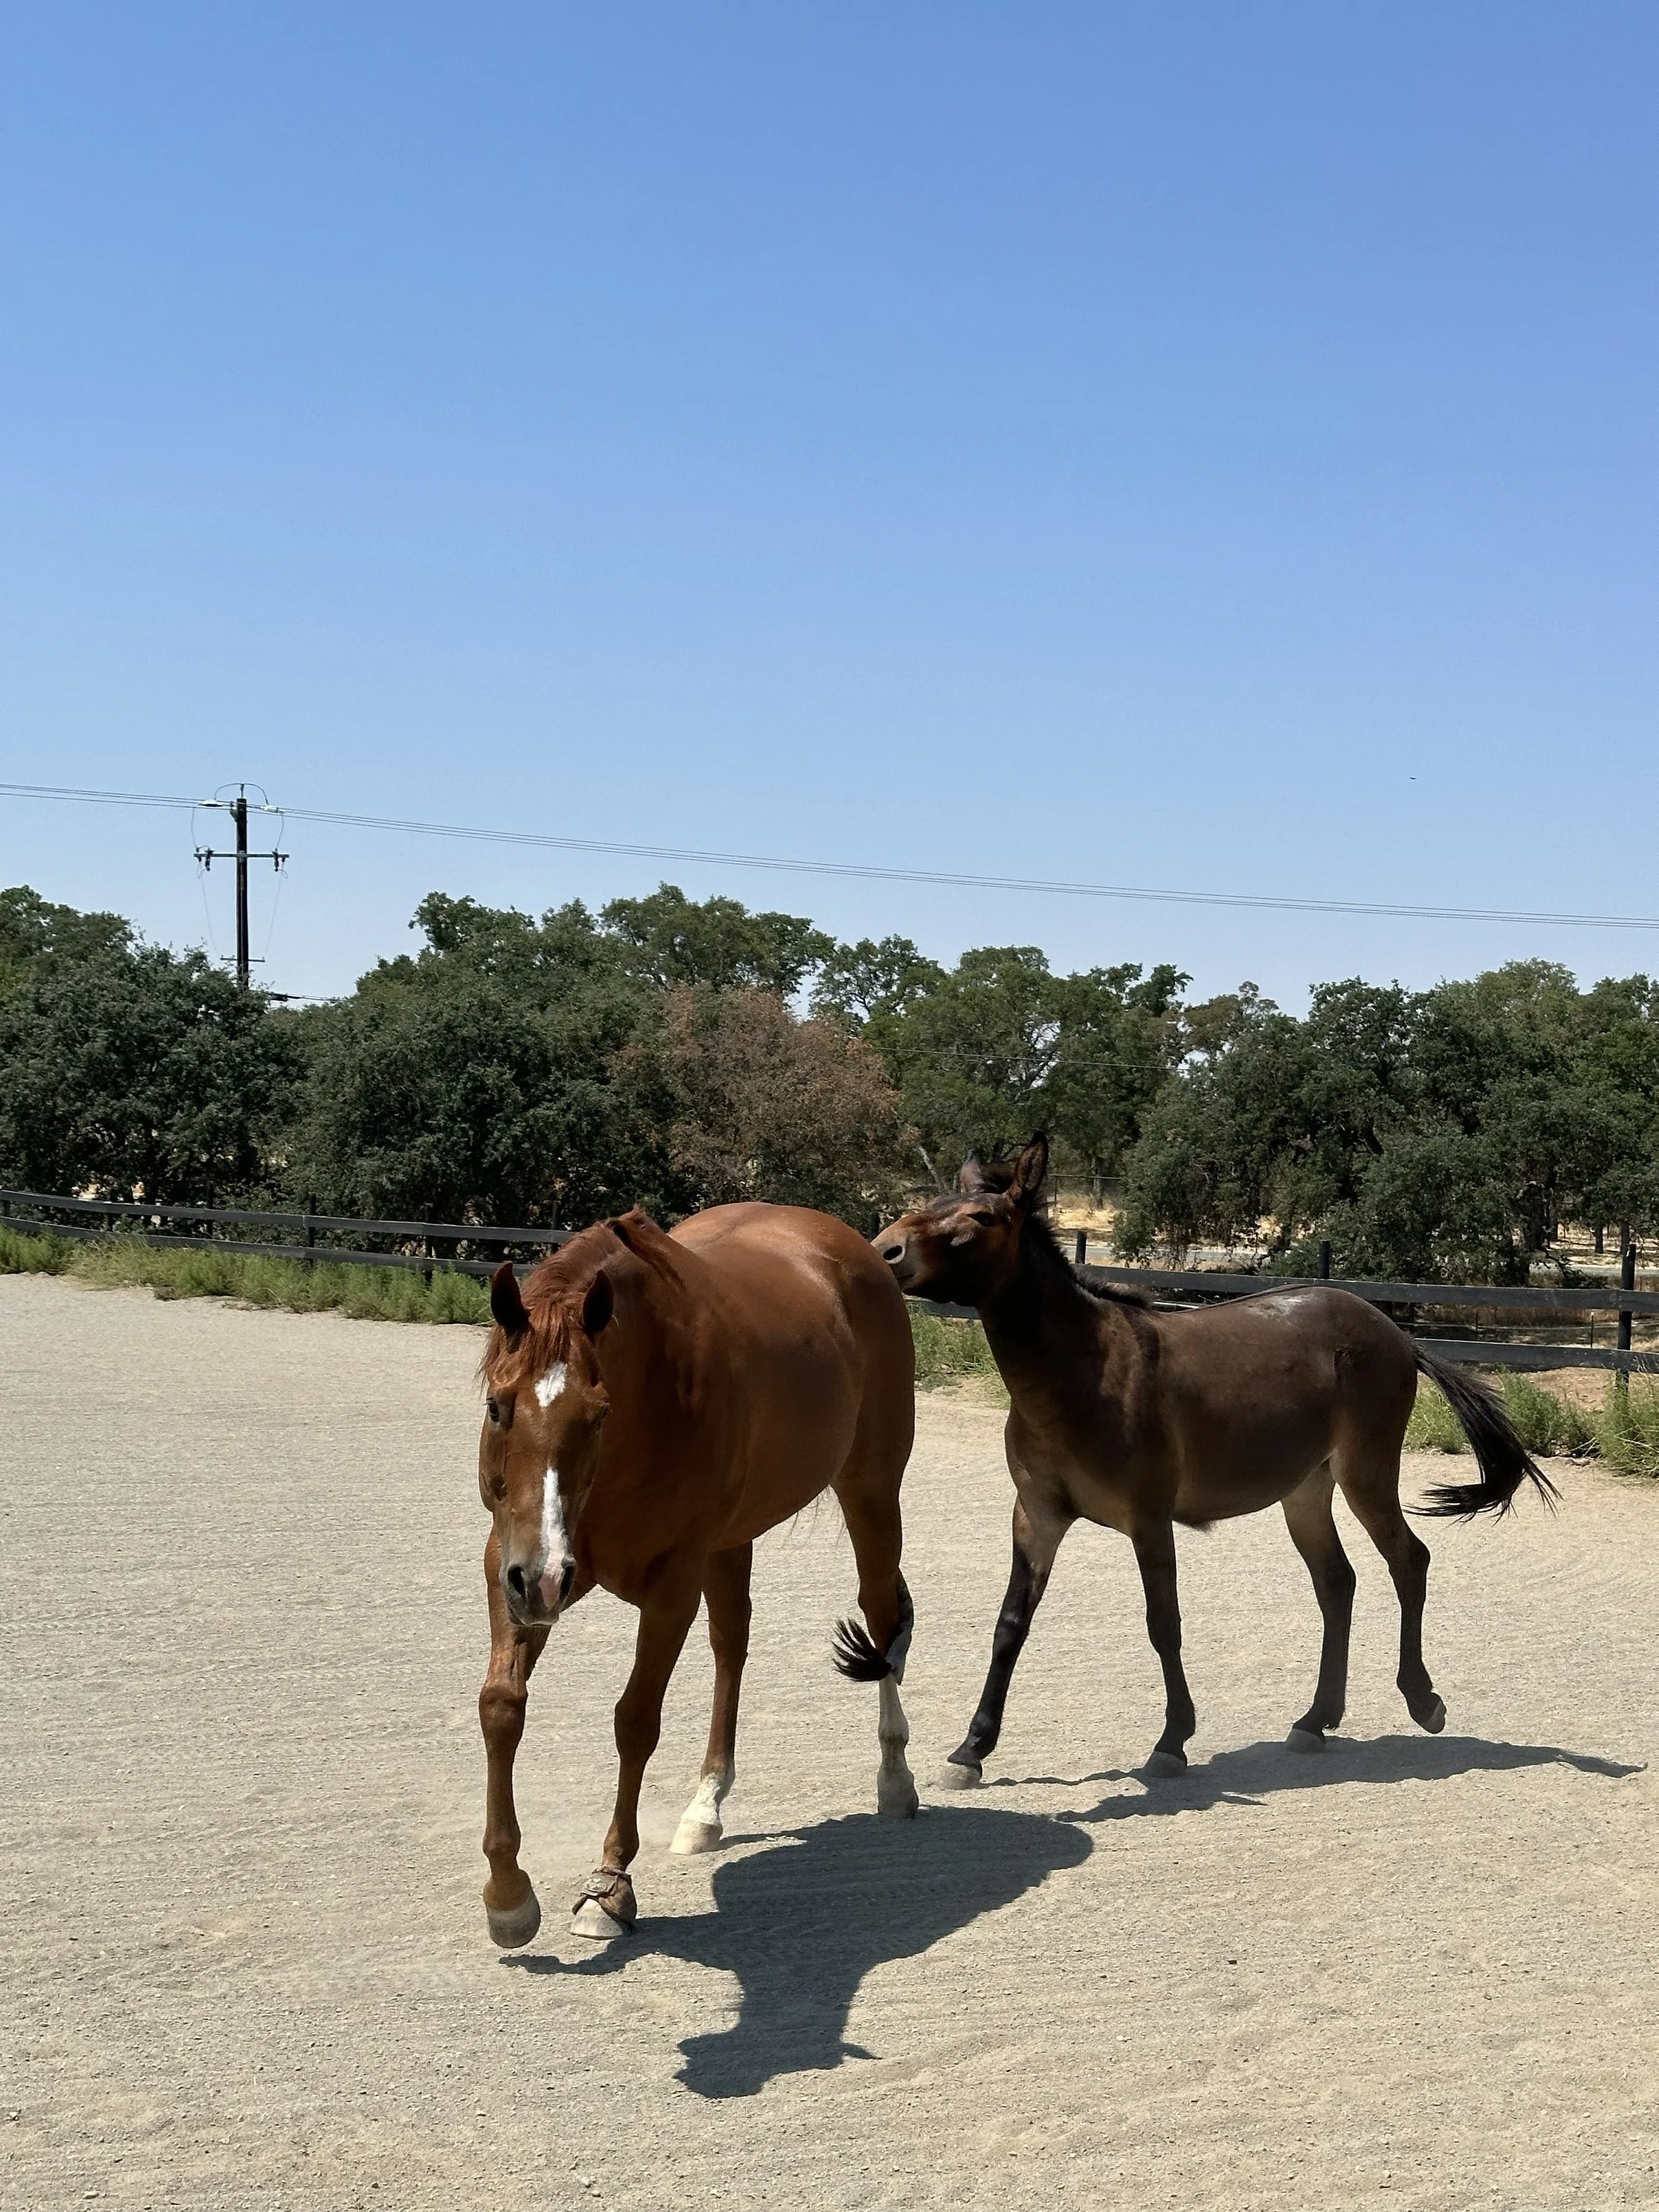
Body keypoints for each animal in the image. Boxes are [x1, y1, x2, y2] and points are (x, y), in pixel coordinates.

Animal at [475, 1201, 918, 1948]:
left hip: (871, 1492)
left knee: (881, 1616)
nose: (540, 1581)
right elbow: (502, 1705)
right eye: (497, 1406)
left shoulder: (669, 1588)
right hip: (728, 1541)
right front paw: (507, 1896)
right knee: (731, 1645)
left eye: (598, 1414)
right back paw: (705, 1807)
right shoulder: (511, 1566)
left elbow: (635, 1722)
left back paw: (895, 1776)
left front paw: (609, 1885)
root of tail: (851, 1247)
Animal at [873, 1134, 1557, 1786]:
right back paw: (1315, 1719)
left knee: (1408, 1561)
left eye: (983, 1216)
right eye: (932, 1202)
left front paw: (1172, 1740)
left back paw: (1422, 1700)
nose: (885, 1250)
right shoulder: (1037, 1516)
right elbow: (1010, 1624)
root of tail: (1397, 1333)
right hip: (1305, 1492)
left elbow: (1164, 1623)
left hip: (1366, 1475)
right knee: (1337, 1582)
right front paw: (972, 1748)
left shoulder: (1149, 1521)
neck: (1084, 1371)